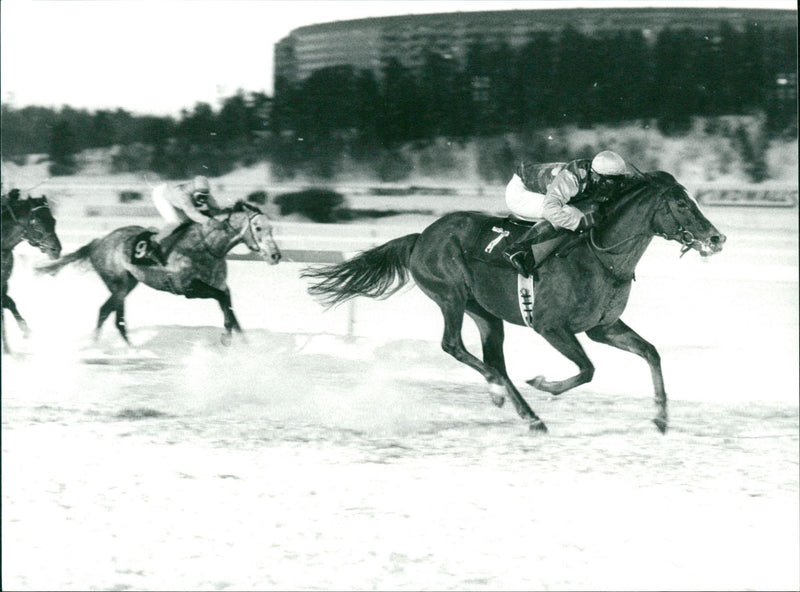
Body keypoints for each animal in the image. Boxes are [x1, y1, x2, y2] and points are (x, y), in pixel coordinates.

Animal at [38, 201, 282, 344]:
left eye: (272, 228)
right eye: (258, 228)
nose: (275, 255)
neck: (207, 246)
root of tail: (100, 241)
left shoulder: (220, 284)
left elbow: (228, 306)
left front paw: (242, 344)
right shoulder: (188, 288)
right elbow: (222, 300)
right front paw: (226, 337)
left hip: (128, 283)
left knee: (113, 316)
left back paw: (128, 349)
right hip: (118, 284)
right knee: (106, 313)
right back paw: (105, 347)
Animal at [300, 169, 724, 432]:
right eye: (682, 205)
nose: (717, 238)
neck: (600, 256)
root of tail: (421, 236)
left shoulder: (602, 327)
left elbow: (651, 352)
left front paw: (662, 418)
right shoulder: (552, 327)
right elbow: (588, 370)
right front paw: (544, 382)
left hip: (486, 313)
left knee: (494, 360)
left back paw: (524, 411)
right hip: (451, 294)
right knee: (455, 346)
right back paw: (501, 393)